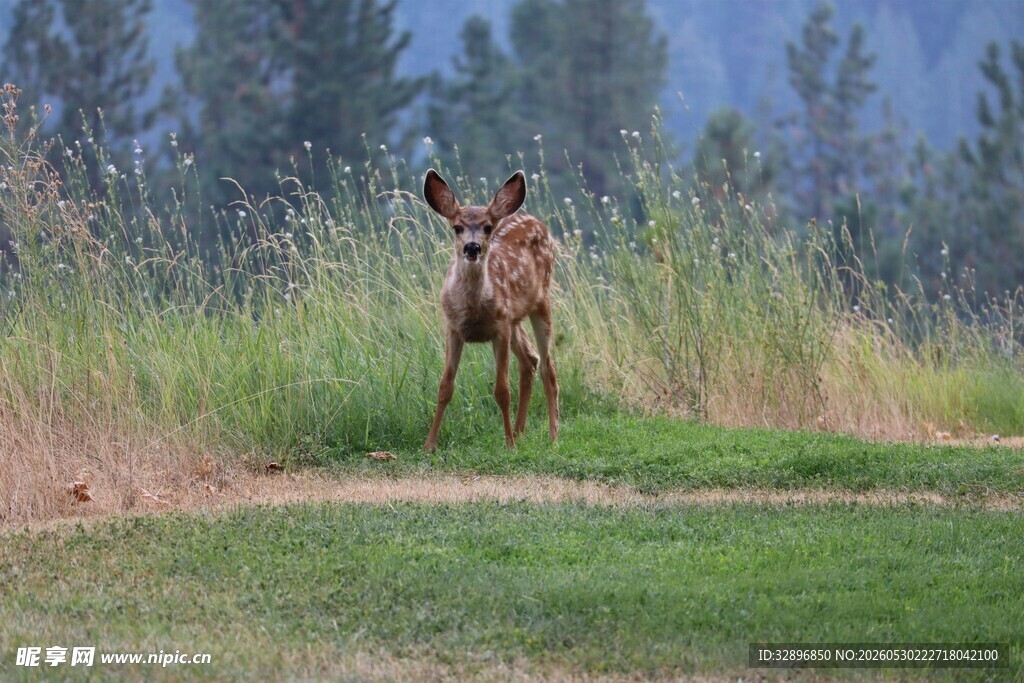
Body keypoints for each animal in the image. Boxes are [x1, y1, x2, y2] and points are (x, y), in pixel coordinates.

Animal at [421, 169, 559, 451]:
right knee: (530, 360)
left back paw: (551, 436)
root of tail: (537, 221)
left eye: (487, 228)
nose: (472, 247)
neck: (473, 310)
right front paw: (429, 444)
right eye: (457, 227)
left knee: (547, 368)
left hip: (541, 301)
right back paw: (519, 431)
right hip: (515, 317)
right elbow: (445, 387)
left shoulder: (500, 328)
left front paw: (508, 444)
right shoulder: (452, 327)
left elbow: (502, 390)